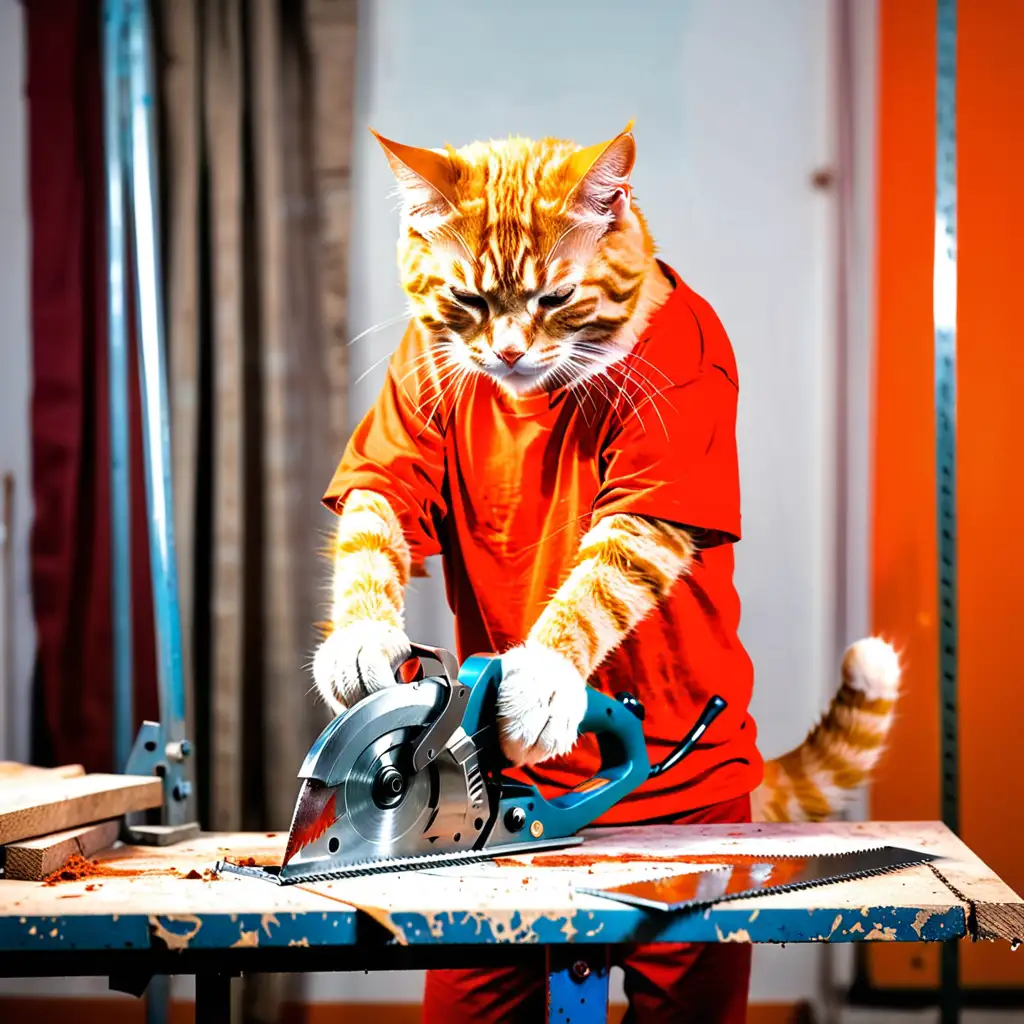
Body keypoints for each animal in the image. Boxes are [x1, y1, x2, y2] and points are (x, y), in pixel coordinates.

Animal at [311, 121, 897, 823]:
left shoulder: (660, 476)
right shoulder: (411, 387)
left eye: (556, 298)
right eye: (468, 299)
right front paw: (361, 640)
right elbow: (377, 519)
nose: (509, 352)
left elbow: (599, 588)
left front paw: (541, 679)